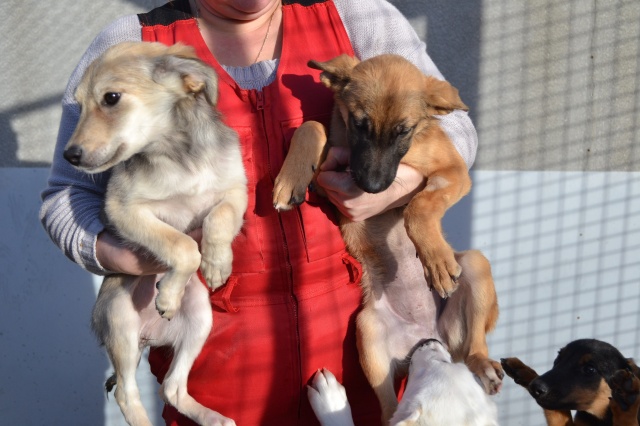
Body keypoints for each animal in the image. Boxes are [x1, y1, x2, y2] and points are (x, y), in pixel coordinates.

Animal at [63, 42, 247, 426]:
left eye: (111, 98)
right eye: (79, 104)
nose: (69, 155)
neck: (178, 154)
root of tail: (150, 336)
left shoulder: (236, 190)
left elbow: (218, 220)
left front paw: (217, 264)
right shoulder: (123, 210)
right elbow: (182, 244)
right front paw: (170, 293)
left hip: (201, 318)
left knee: (171, 388)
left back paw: (213, 417)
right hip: (120, 319)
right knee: (126, 393)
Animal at [501, 339, 640, 426]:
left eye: (590, 369)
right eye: (558, 359)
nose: (534, 387)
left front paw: (626, 399)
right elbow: (557, 414)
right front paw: (523, 370)